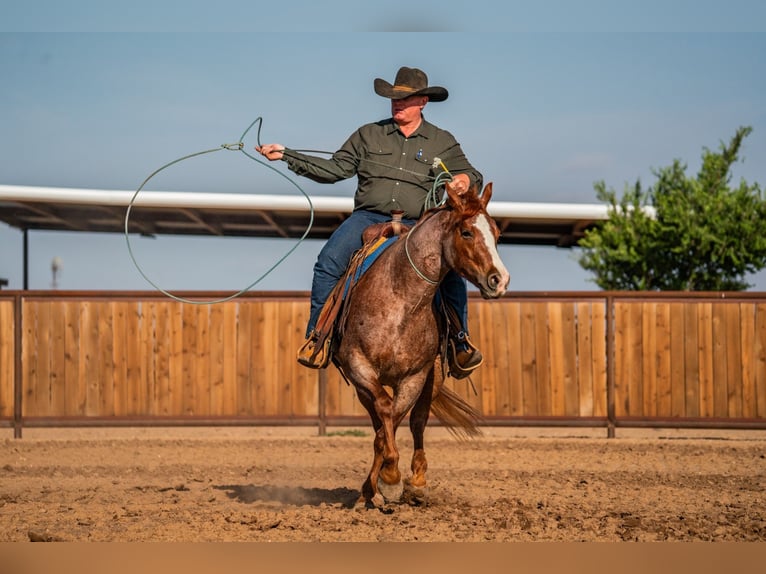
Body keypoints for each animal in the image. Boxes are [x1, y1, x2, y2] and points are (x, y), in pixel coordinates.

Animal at [332, 181, 510, 509]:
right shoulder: (359, 366)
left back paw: (415, 483)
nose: (500, 280)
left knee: (416, 422)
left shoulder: (416, 375)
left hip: (434, 378)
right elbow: (385, 415)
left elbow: (395, 422)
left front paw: (389, 481)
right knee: (381, 418)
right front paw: (386, 481)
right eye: (466, 232)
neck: (401, 300)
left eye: (496, 232)